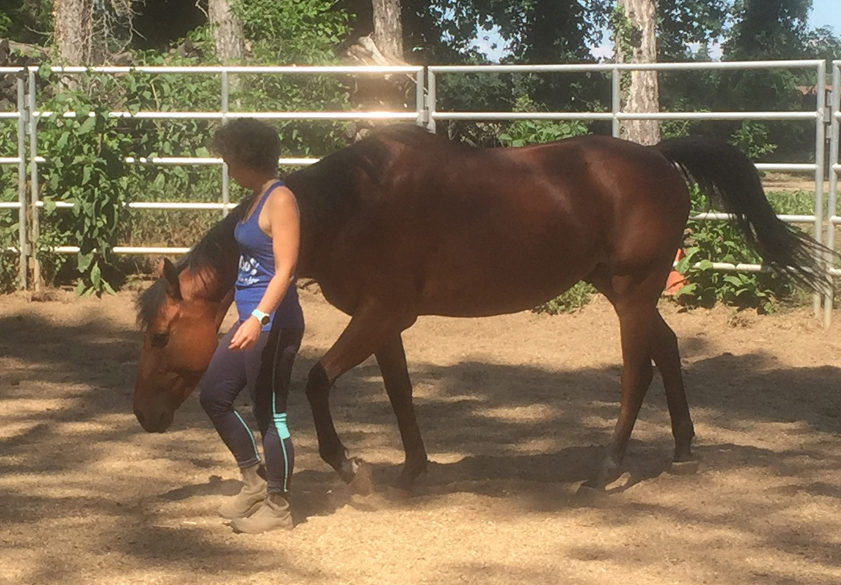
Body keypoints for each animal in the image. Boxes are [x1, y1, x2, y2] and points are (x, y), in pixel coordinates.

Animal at [133, 123, 832, 492]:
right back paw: (683, 450)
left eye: (161, 336)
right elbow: (400, 390)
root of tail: (659, 155)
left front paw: (346, 462)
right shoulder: (384, 321)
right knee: (667, 347)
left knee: (638, 368)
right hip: (621, 288)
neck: (352, 203)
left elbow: (316, 380)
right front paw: (414, 468)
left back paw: (608, 467)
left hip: (633, 291)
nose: (142, 415)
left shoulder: (380, 315)